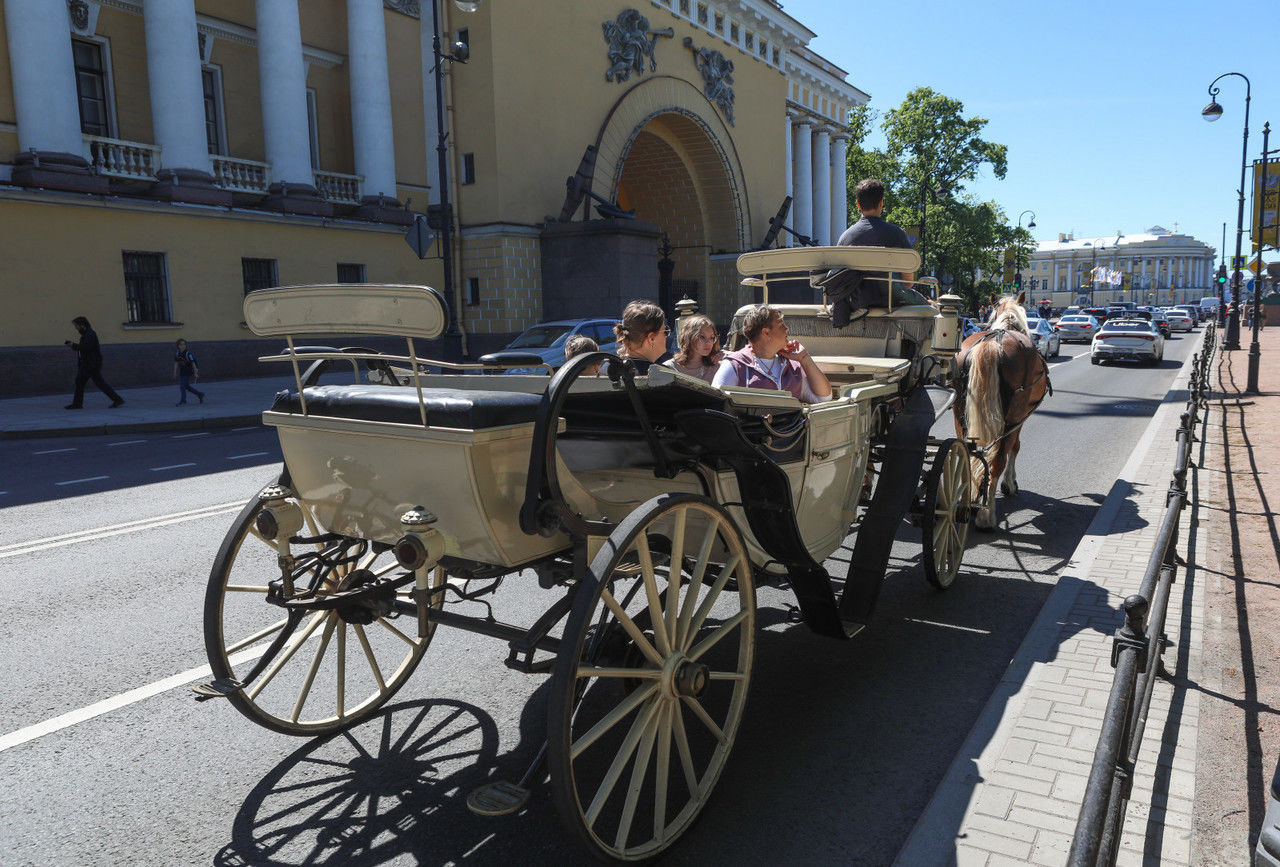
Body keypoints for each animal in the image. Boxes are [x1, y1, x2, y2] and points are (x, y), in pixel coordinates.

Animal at [952, 291, 1049, 527]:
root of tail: (992, 345)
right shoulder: (1022, 417)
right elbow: (1016, 447)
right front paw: (1009, 485)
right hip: (1014, 415)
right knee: (997, 460)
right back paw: (986, 516)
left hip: (960, 411)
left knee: (966, 452)